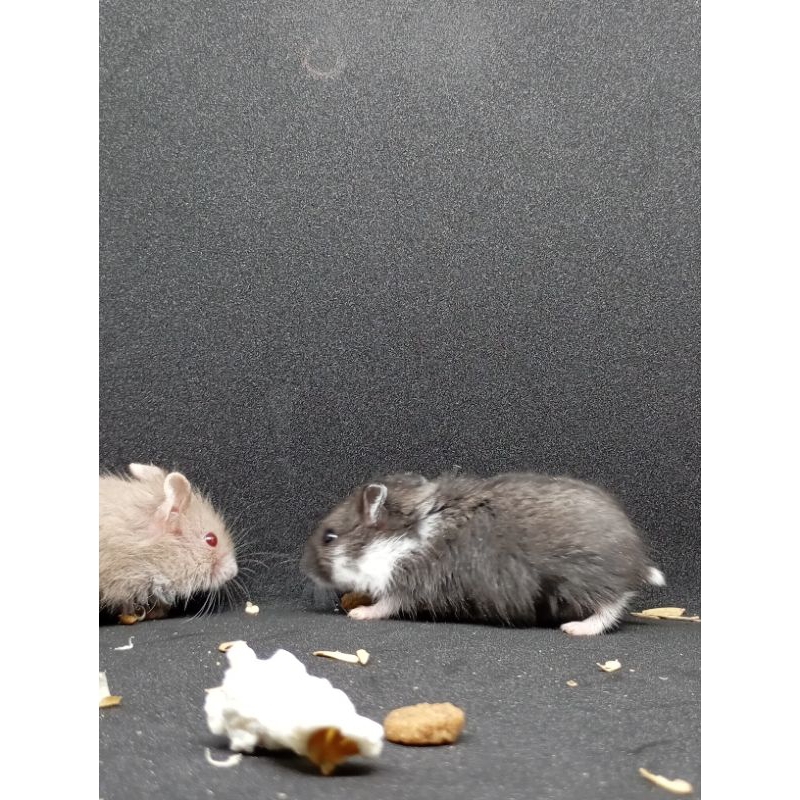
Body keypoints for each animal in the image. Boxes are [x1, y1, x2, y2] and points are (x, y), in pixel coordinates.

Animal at [301, 471, 665, 635]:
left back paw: (576, 628)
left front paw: (359, 613)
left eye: (329, 537)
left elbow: (388, 605)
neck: (402, 537)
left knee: (612, 604)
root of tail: (637, 561)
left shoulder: (409, 584)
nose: (304, 569)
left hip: (578, 579)